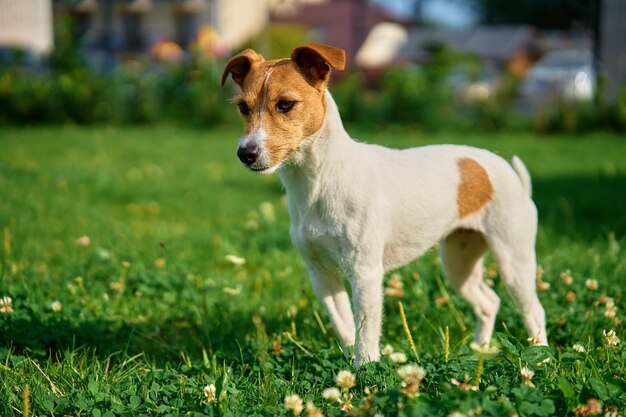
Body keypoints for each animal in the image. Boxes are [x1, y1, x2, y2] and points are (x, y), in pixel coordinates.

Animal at [222, 44, 544, 366]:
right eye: (243, 108)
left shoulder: (365, 273)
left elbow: (365, 337)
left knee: (533, 310)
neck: (319, 183)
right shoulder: (322, 275)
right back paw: (480, 349)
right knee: (489, 302)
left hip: (513, 261)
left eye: (286, 104)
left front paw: (366, 371)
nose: (245, 153)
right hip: (458, 263)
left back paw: (539, 358)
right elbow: (345, 329)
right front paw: (347, 371)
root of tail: (509, 173)